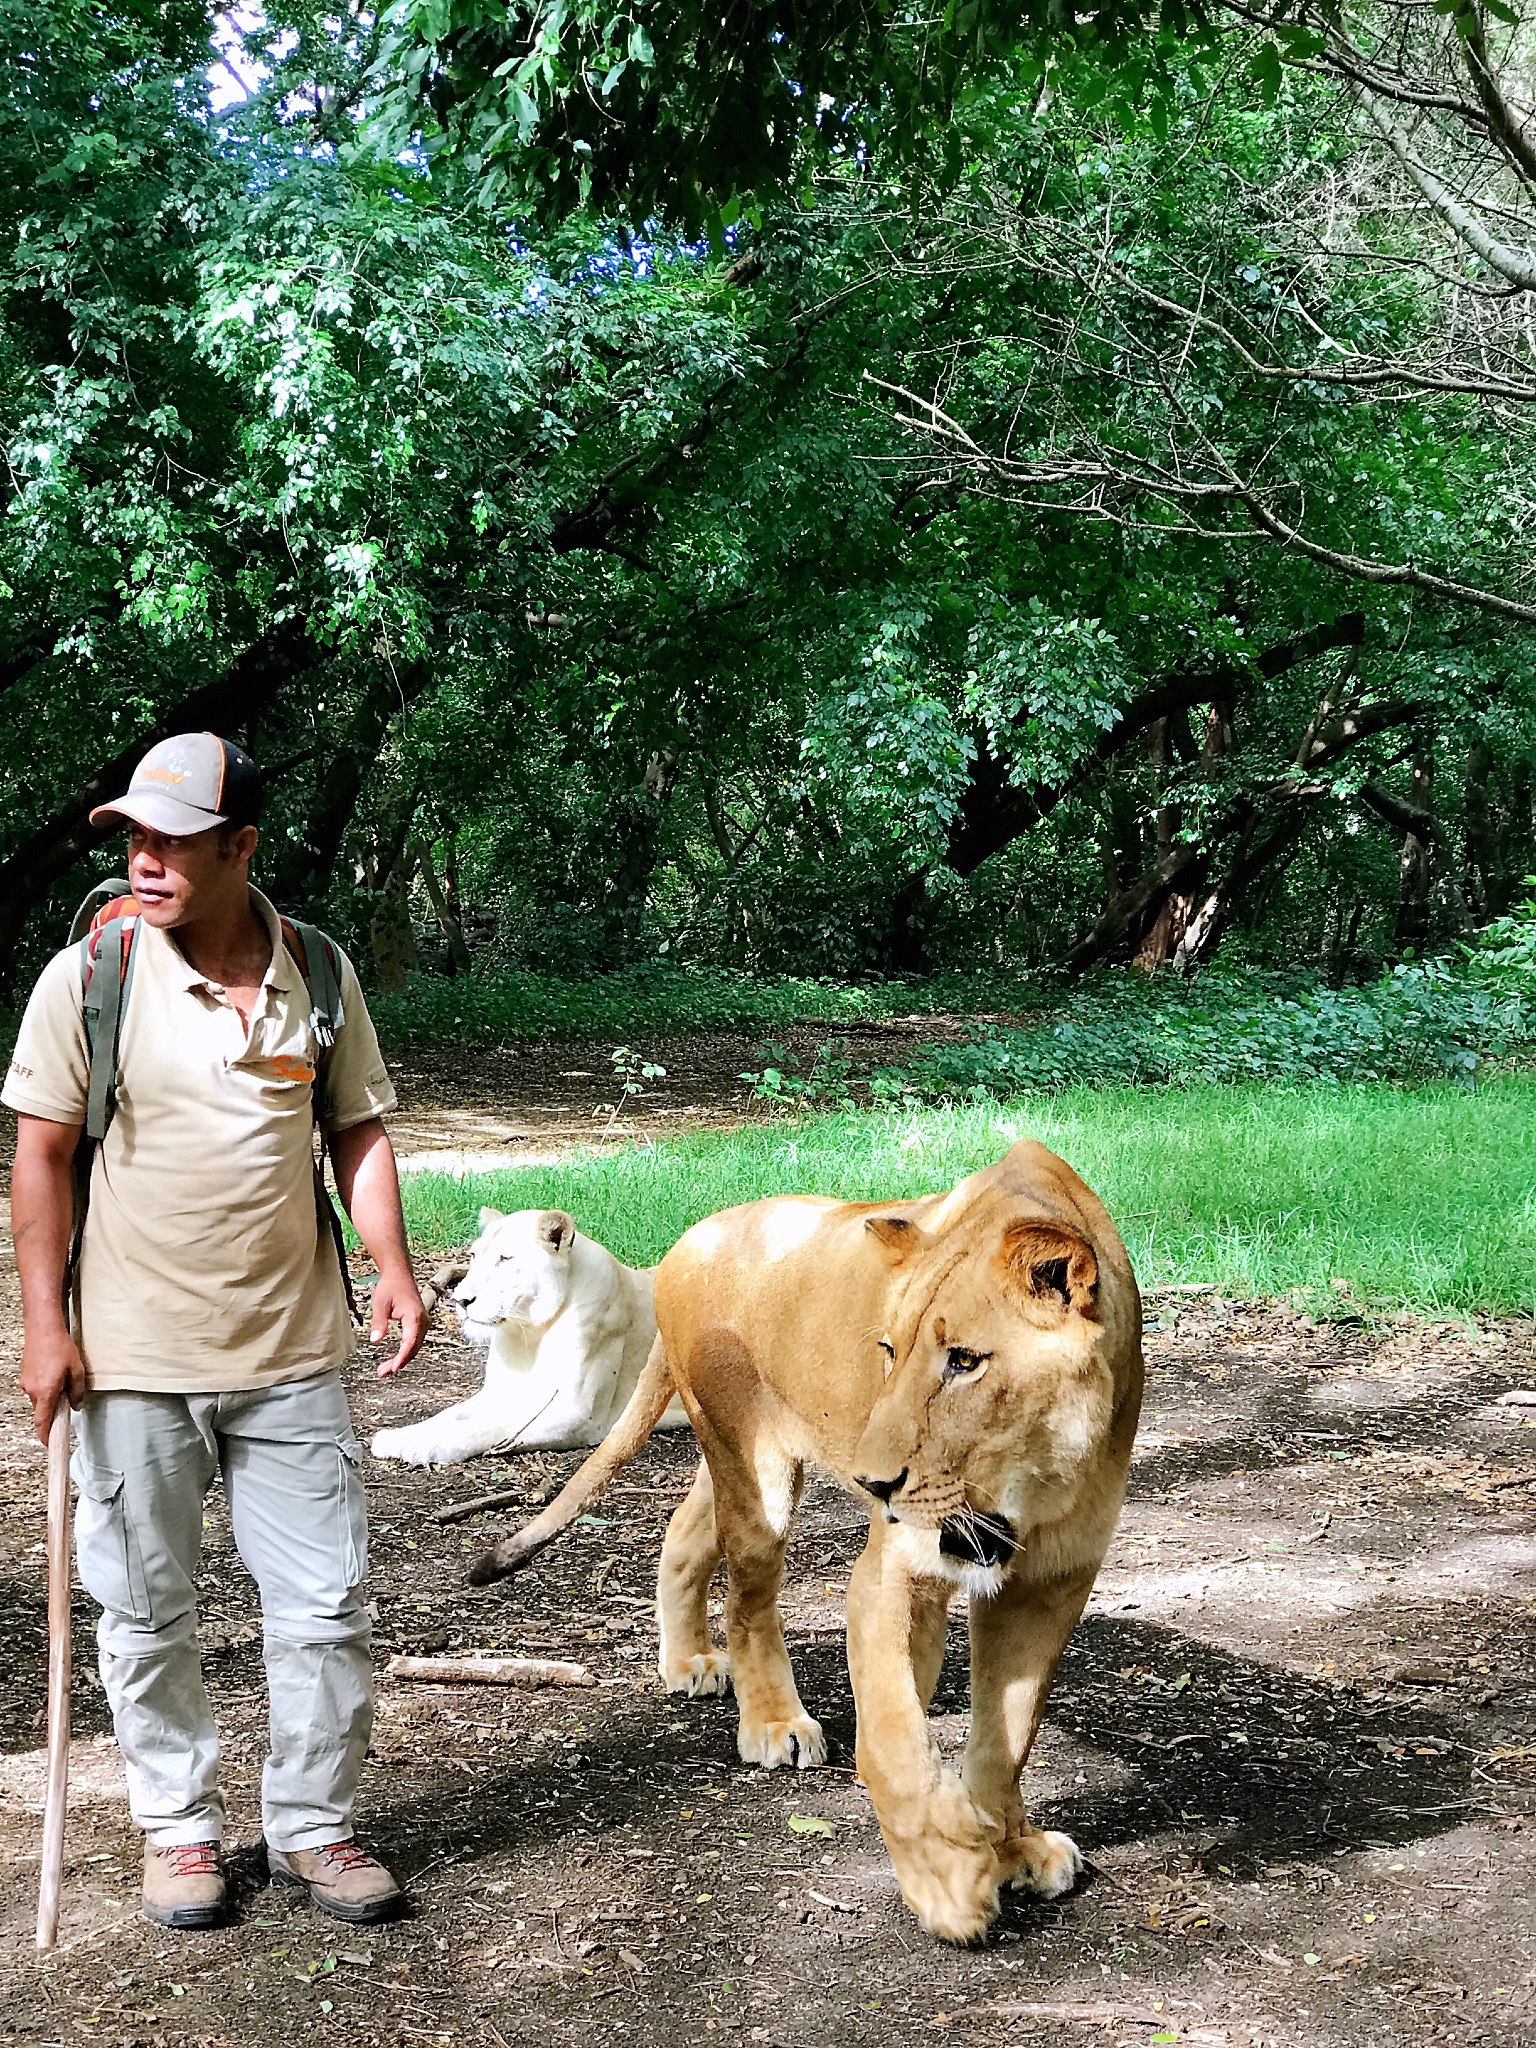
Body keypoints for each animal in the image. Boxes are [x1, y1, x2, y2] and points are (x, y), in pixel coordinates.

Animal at [370, 1196, 688, 1474]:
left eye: (505, 1259)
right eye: (473, 1256)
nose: (461, 1300)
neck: (529, 1334)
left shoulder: (578, 1413)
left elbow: (492, 1426)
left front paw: (425, 1445)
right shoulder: (500, 1392)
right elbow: (449, 1415)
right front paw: (397, 1437)